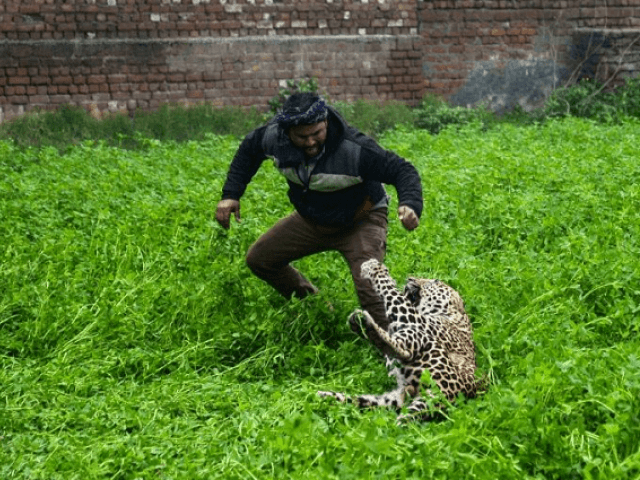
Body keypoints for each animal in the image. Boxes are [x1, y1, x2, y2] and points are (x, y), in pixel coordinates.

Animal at [318, 258, 484, 422]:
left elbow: (392, 292)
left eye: (434, 281)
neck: (455, 314)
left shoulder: (415, 318)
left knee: (402, 350)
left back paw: (364, 326)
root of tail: (448, 396)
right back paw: (325, 396)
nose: (410, 278)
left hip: (427, 347)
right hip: (392, 400)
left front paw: (374, 268)